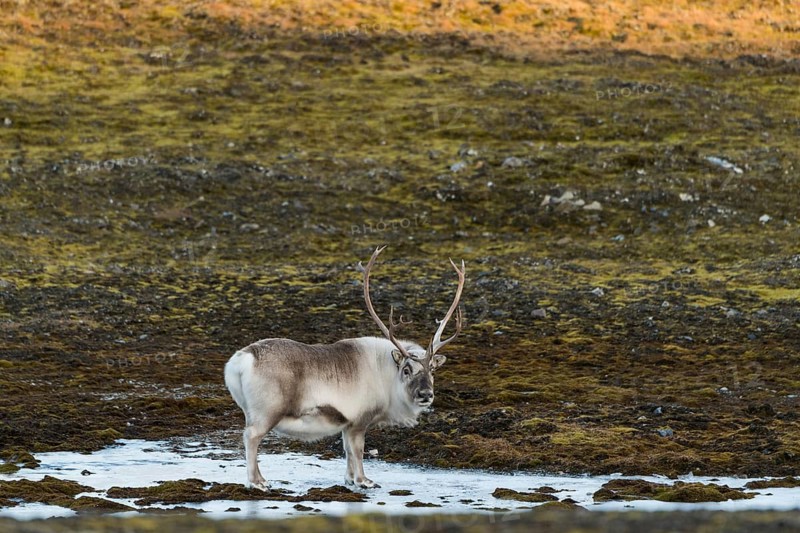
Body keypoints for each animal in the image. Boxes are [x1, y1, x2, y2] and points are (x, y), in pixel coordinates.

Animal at [224, 246, 465, 489]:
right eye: (407, 370)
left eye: (432, 370)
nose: (426, 394)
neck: (387, 377)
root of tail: (240, 360)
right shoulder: (360, 421)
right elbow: (357, 450)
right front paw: (364, 480)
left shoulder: (347, 425)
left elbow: (347, 451)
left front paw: (349, 479)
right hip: (267, 412)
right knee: (251, 436)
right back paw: (257, 482)